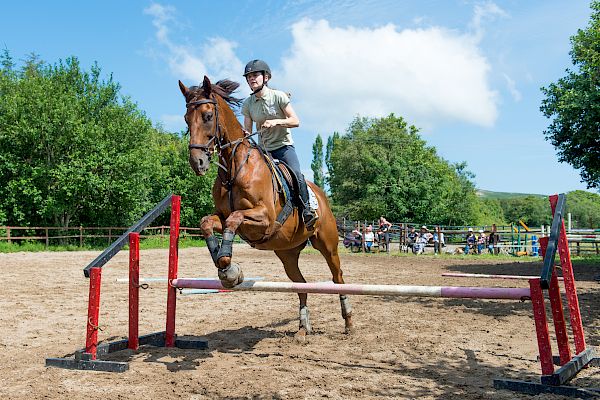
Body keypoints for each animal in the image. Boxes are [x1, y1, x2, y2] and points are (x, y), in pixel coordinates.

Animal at [180, 76, 354, 338]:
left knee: (338, 278)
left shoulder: (265, 219)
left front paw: (229, 268)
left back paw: (348, 320)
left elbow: (235, 218)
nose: (197, 162)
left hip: (327, 244)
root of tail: (322, 196)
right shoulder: (223, 217)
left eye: (208, 116)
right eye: (186, 118)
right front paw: (224, 264)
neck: (234, 168)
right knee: (301, 283)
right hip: (287, 253)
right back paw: (303, 328)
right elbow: (207, 223)